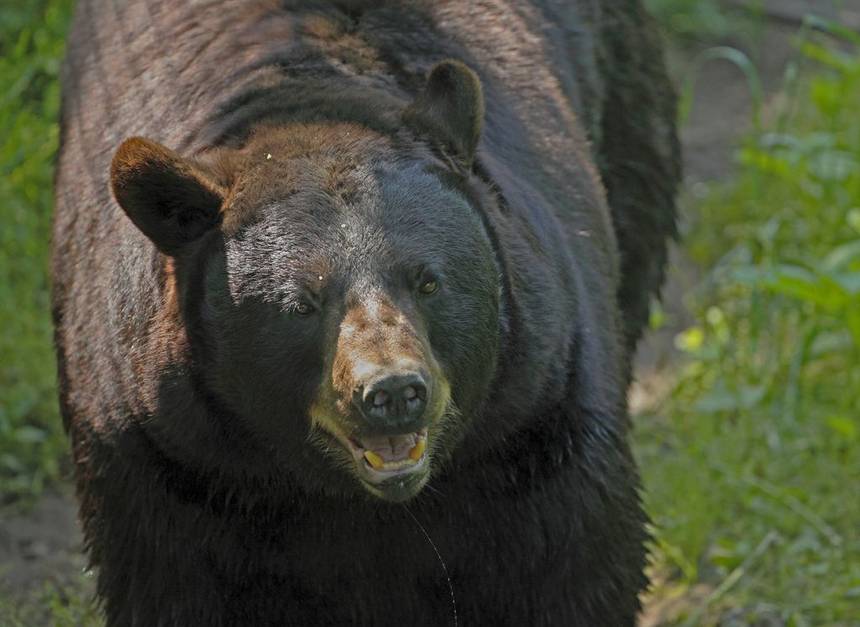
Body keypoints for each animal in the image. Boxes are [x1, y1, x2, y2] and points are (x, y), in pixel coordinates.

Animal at [52, 1, 680, 625]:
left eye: (428, 281)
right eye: (300, 305)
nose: (394, 392)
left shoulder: (536, 424)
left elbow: (569, 568)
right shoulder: (165, 458)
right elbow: (173, 585)